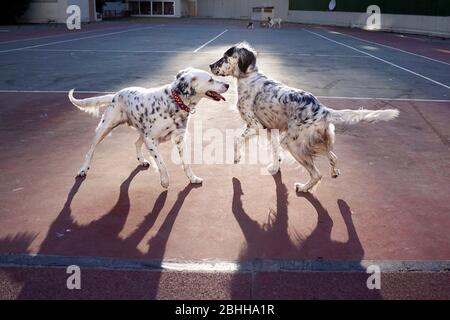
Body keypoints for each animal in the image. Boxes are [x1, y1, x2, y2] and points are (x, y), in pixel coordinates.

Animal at [68, 67, 230, 188]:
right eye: (210, 79)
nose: (228, 85)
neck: (174, 102)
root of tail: (116, 95)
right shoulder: (151, 140)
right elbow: (162, 163)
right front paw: (165, 181)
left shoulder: (178, 139)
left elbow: (186, 163)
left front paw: (193, 178)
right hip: (104, 129)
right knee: (90, 151)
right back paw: (83, 169)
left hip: (141, 132)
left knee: (136, 143)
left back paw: (141, 160)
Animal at [209, 42, 400, 192]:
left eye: (225, 57)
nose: (210, 65)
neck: (249, 76)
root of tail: (323, 109)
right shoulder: (273, 128)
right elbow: (275, 151)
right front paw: (275, 166)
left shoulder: (255, 125)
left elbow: (236, 140)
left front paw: (237, 158)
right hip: (313, 141)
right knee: (333, 157)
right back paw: (334, 173)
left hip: (294, 143)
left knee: (317, 174)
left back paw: (303, 188)